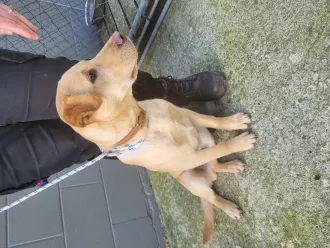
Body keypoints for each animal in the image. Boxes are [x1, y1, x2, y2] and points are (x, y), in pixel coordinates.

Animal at [56, 32, 255, 243]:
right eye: (92, 75)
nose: (117, 35)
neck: (145, 125)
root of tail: (207, 174)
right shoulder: (191, 157)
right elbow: (221, 147)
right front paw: (241, 142)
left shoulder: (188, 115)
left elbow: (214, 120)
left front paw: (234, 122)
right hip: (194, 182)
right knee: (213, 194)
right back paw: (229, 207)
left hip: (205, 135)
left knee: (215, 163)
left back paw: (232, 166)